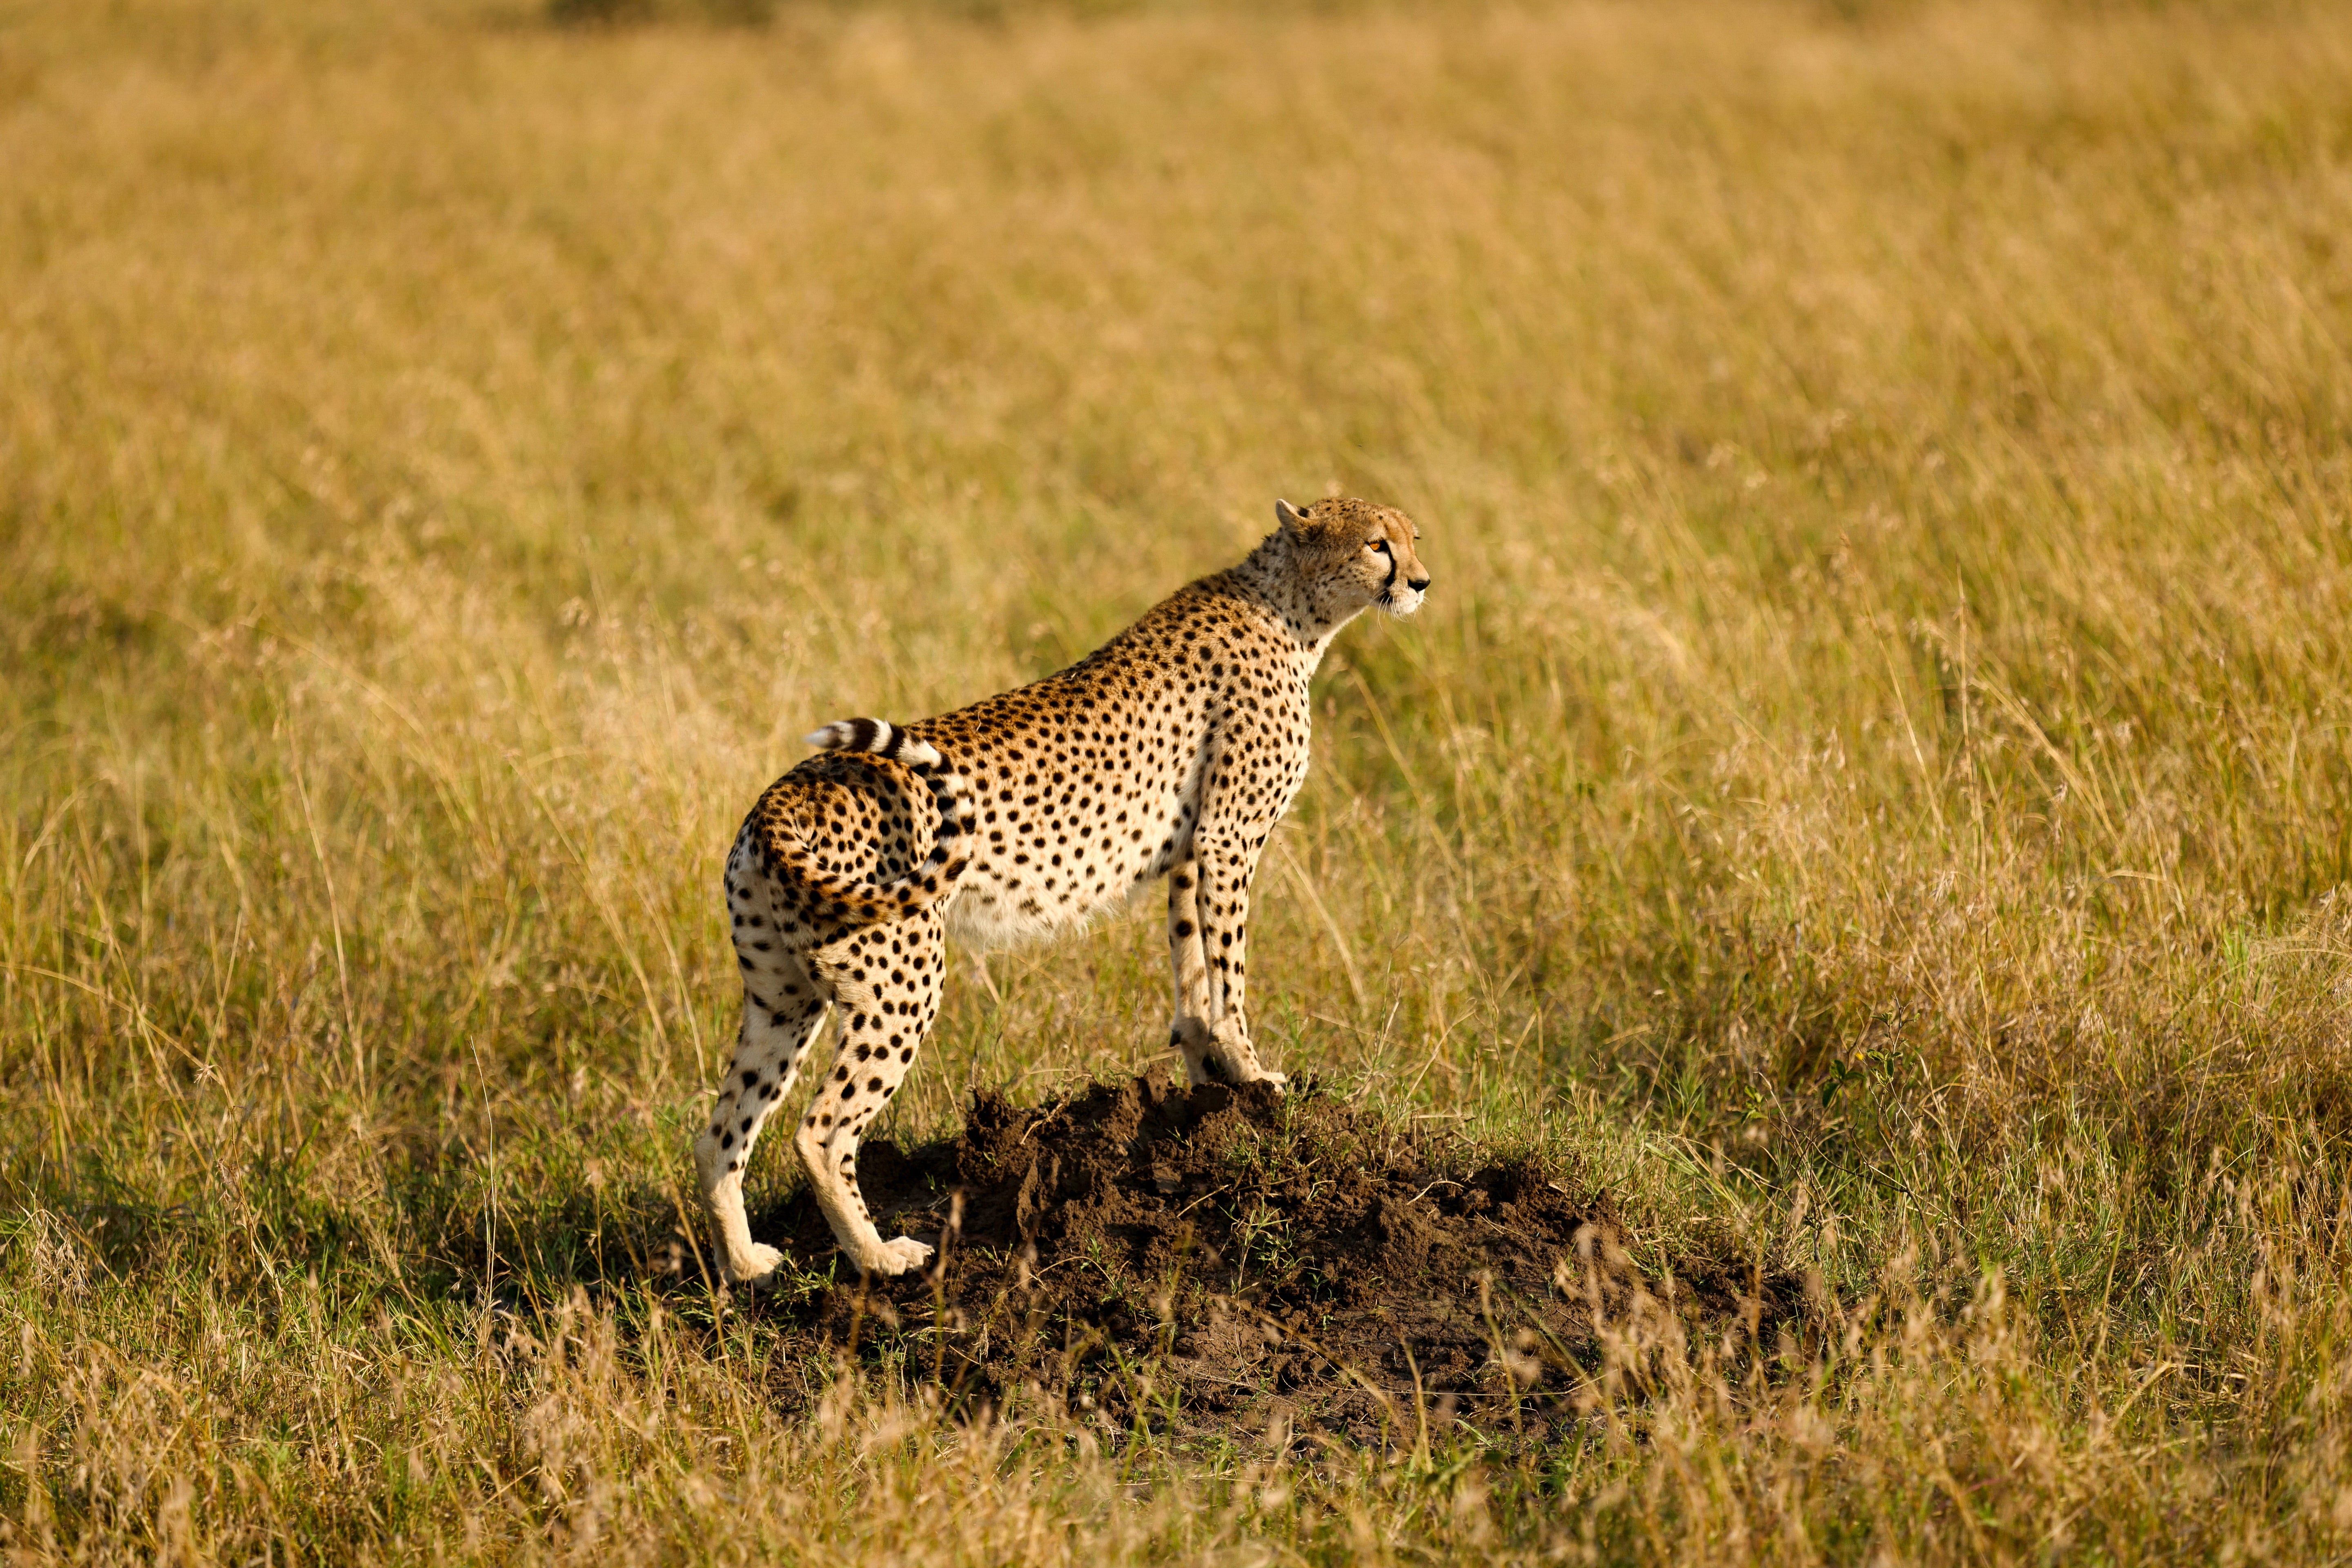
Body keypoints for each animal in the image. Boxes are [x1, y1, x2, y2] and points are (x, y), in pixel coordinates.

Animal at [694, 496, 1431, 1281]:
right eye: (1377, 545)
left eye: (1413, 537)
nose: (1421, 582)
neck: (1291, 607)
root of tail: (784, 793)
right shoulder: (1228, 838)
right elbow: (1229, 972)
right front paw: (1253, 1075)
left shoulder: (1191, 852)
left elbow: (1192, 970)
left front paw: (1206, 1075)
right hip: (900, 981)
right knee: (822, 1131)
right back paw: (882, 1256)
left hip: (783, 993)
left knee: (721, 1131)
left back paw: (743, 1264)